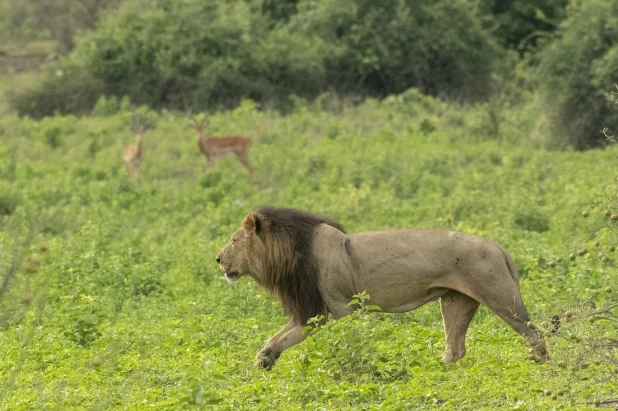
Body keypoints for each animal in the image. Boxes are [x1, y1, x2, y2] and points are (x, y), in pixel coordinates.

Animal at [217, 206, 548, 370]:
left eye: (233, 240)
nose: (218, 259)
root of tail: (498, 246)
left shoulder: (342, 307)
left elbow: (350, 342)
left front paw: (356, 366)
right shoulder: (316, 310)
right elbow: (282, 336)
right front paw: (264, 359)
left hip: (500, 295)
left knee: (534, 332)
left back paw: (540, 363)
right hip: (456, 301)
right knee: (455, 348)